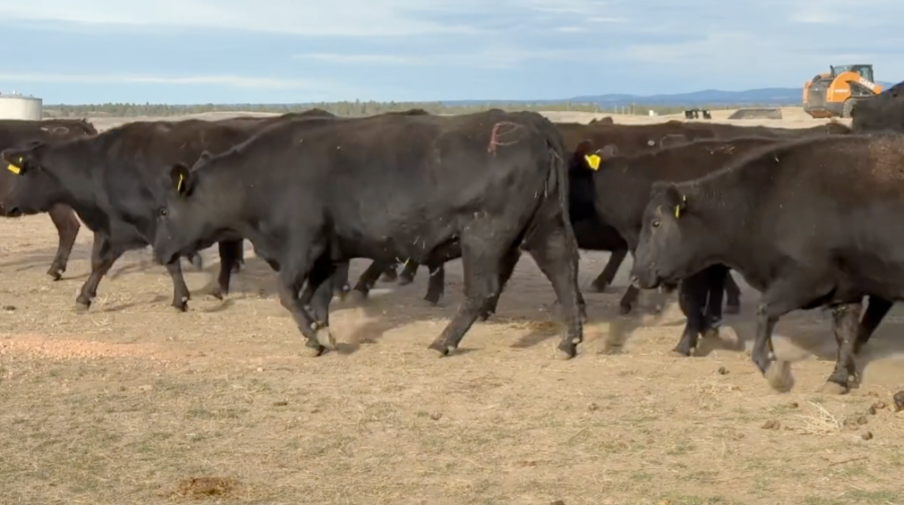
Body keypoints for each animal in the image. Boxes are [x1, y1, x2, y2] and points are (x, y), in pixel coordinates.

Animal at [150, 109, 585, 358]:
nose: (156, 252)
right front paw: (324, 331)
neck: (257, 179)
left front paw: (313, 339)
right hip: (544, 227)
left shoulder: (301, 246)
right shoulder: (329, 253)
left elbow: (289, 294)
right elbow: (319, 296)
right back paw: (569, 341)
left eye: (164, 209)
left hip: (485, 236)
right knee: (563, 271)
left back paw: (443, 342)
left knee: (482, 291)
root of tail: (530, 122)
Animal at [628, 133, 902, 393]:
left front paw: (772, 368)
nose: (635, 275)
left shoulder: (806, 280)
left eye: (656, 223)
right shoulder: (845, 289)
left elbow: (765, 311)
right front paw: (838, 379)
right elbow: (844, 333)